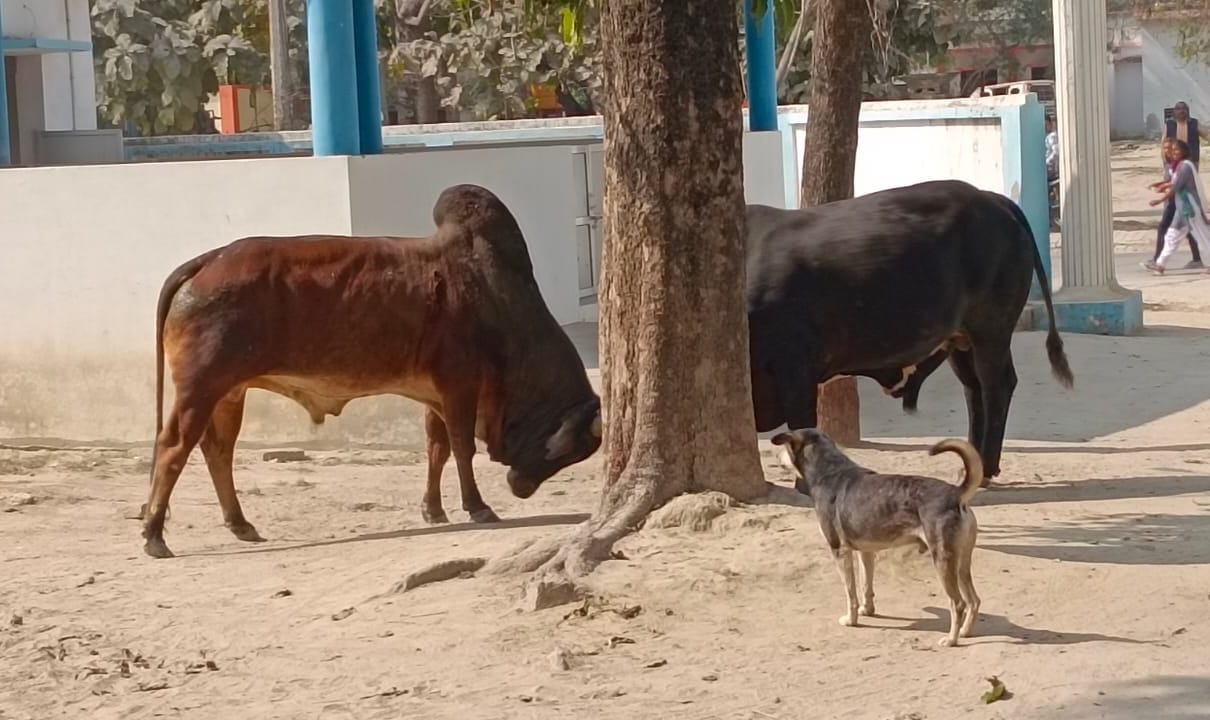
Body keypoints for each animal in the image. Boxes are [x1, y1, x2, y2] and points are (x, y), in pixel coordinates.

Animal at [139, 184, 603, 558]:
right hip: (201, 387)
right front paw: (477, 507)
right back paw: (154, 534)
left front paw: (433, 510)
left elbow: (437, 448)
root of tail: (207, 260)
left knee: (217, 451)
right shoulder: (459, 385)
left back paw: (240, 524)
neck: (495, 297)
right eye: (576, 449)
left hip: (229, 392)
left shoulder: (435, 393)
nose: (520, 487)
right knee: (173, 447)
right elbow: (462, 447)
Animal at [746, 179, 1073, 484]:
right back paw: (971, 465)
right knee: (974, 389)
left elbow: (802, 424)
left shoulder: (796, 365)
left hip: (991, 329)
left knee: (997, 387)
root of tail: (992, 199)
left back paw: (985, 470)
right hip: (961, 339)